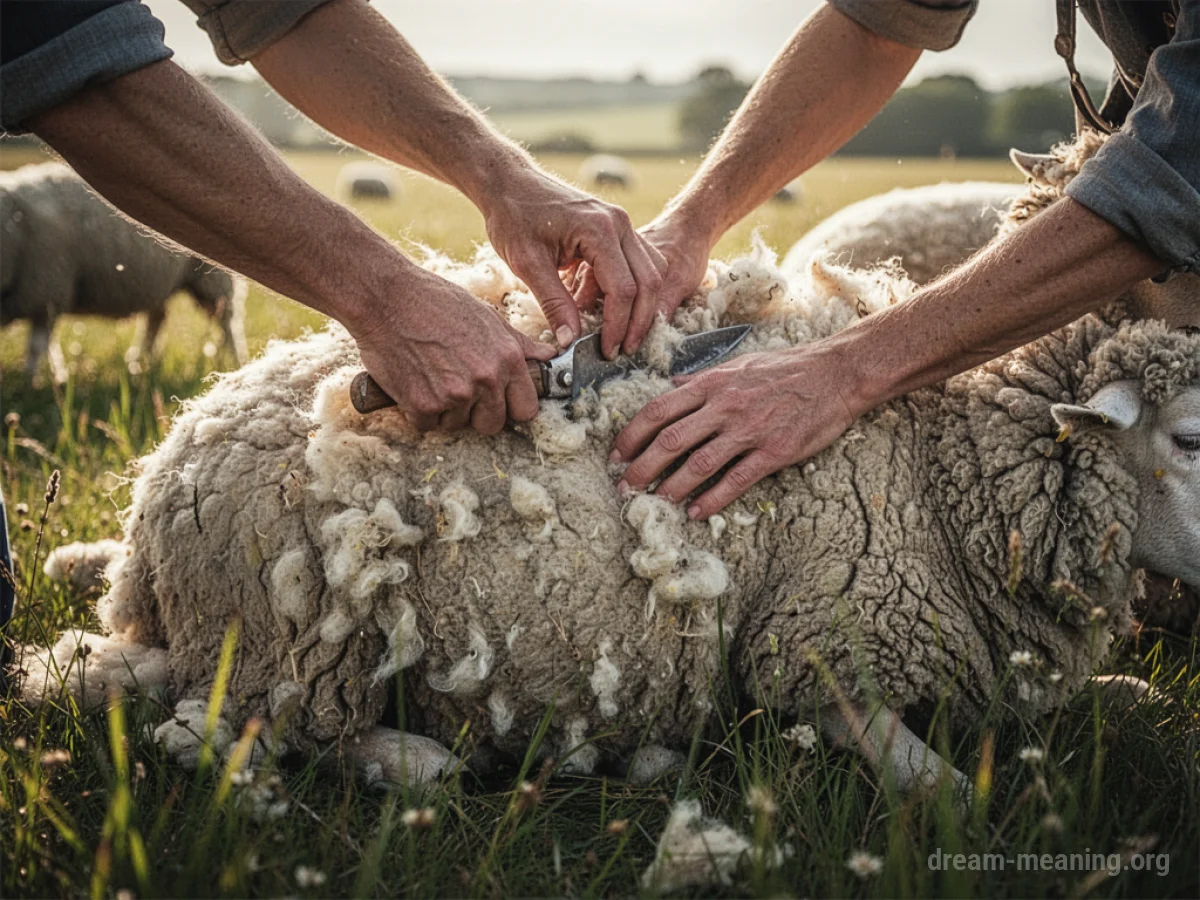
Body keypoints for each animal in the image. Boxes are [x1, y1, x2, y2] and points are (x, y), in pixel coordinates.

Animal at [0, 162, 248, 382]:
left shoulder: (48, 293)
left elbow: (37, 346)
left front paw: (31, 379)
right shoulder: (45, 298)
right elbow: (47, 345)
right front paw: (53, 375)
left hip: (213, 281)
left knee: (227, 324)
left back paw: (237, 360)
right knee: (157, 319)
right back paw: (140, 362)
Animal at [23, 228, 1199, 799]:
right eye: (1187, 441)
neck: (943, 468)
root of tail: (159, 480)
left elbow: (1111, 702)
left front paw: (1136, 698)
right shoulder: (817, 647)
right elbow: (941, 787)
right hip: (289, 640)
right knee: (240, 731)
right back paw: (420, 763)